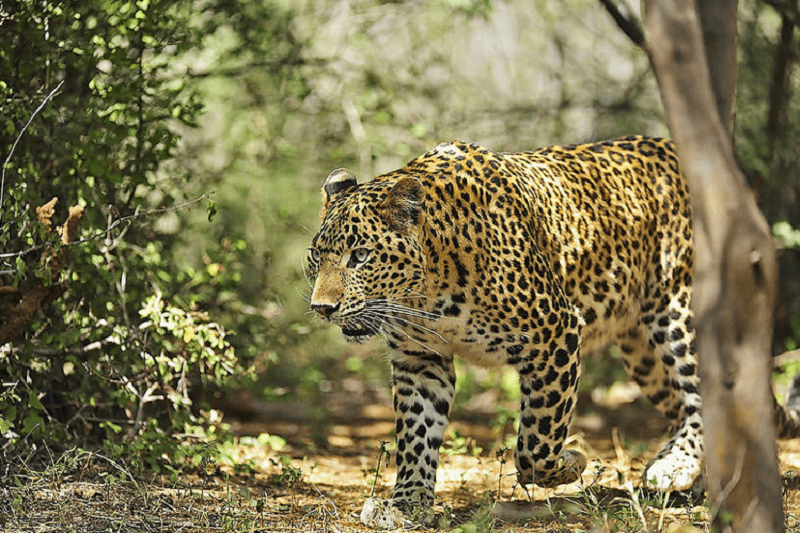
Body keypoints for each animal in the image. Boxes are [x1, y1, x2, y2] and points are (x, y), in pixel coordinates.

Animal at [306, 136, 800, 529]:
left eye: (360, 256)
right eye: (316, 257)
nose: (321, 308)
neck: (429, 291)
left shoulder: (554, 333)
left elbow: (536, 441)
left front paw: (569, 464)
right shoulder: (419, 359)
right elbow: (416, 435)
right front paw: (407, 504)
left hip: (680, 314)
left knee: (706, 388)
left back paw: (676, 466)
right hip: (644, 354)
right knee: (683, 402)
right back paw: (688, 472)